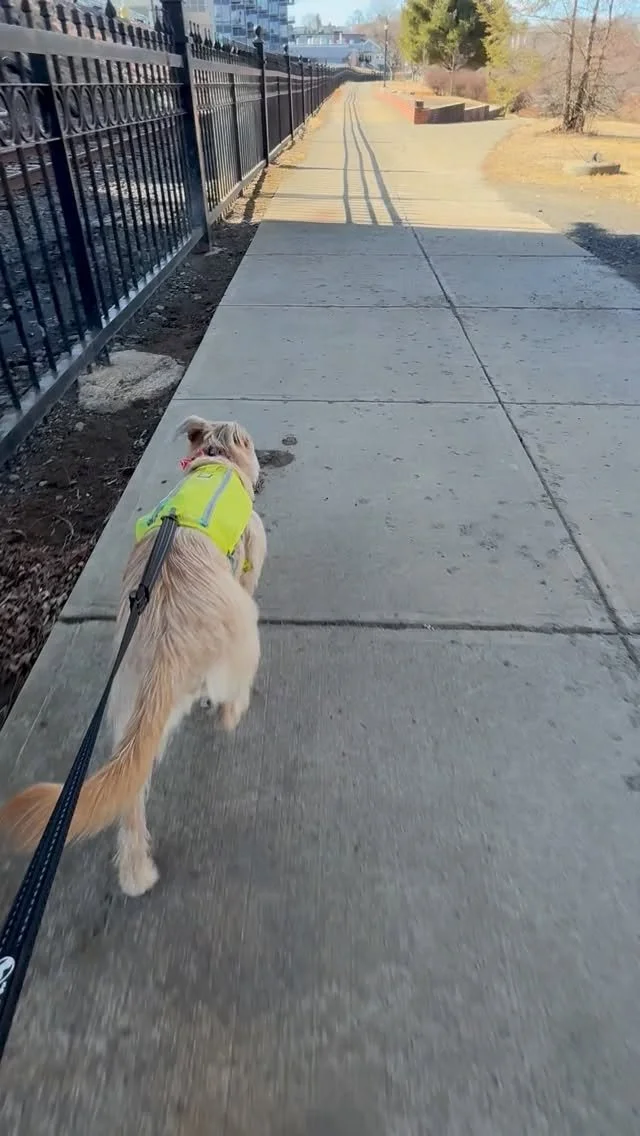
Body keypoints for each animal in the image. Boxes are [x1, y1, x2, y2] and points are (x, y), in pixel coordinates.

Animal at [0, 417, 266, 896]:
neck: (216, 458)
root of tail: (166, 647)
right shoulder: (252, 544)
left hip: (130, 713)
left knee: (129, 797)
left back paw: (136, 874)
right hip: (241, 639)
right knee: (232, 694)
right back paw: (231, 713)